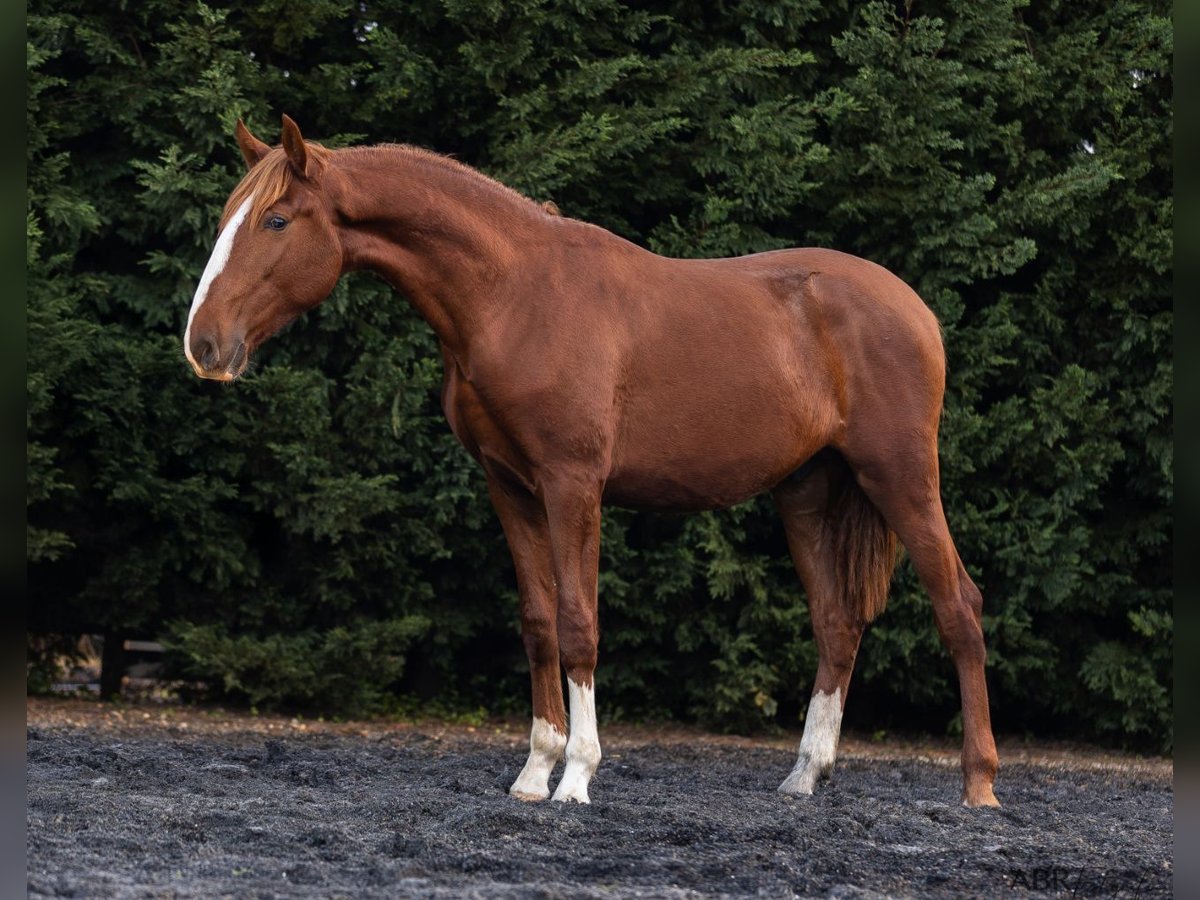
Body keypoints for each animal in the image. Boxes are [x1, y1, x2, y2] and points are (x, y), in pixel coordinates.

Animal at [185, 115, 1000, 808]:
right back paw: (805, 774)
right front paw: (534, 770)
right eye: (225, 219)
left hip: (900, 477)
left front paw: (575, 777)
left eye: (276, 220)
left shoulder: (572, 484)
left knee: (958, 604)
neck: (513, 296)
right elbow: (539, 621)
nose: (203, 344)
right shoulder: (509, 486)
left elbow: (579, 622)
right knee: (836, 623)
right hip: (806, 492)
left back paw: (978, 785)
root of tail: (914, 309)